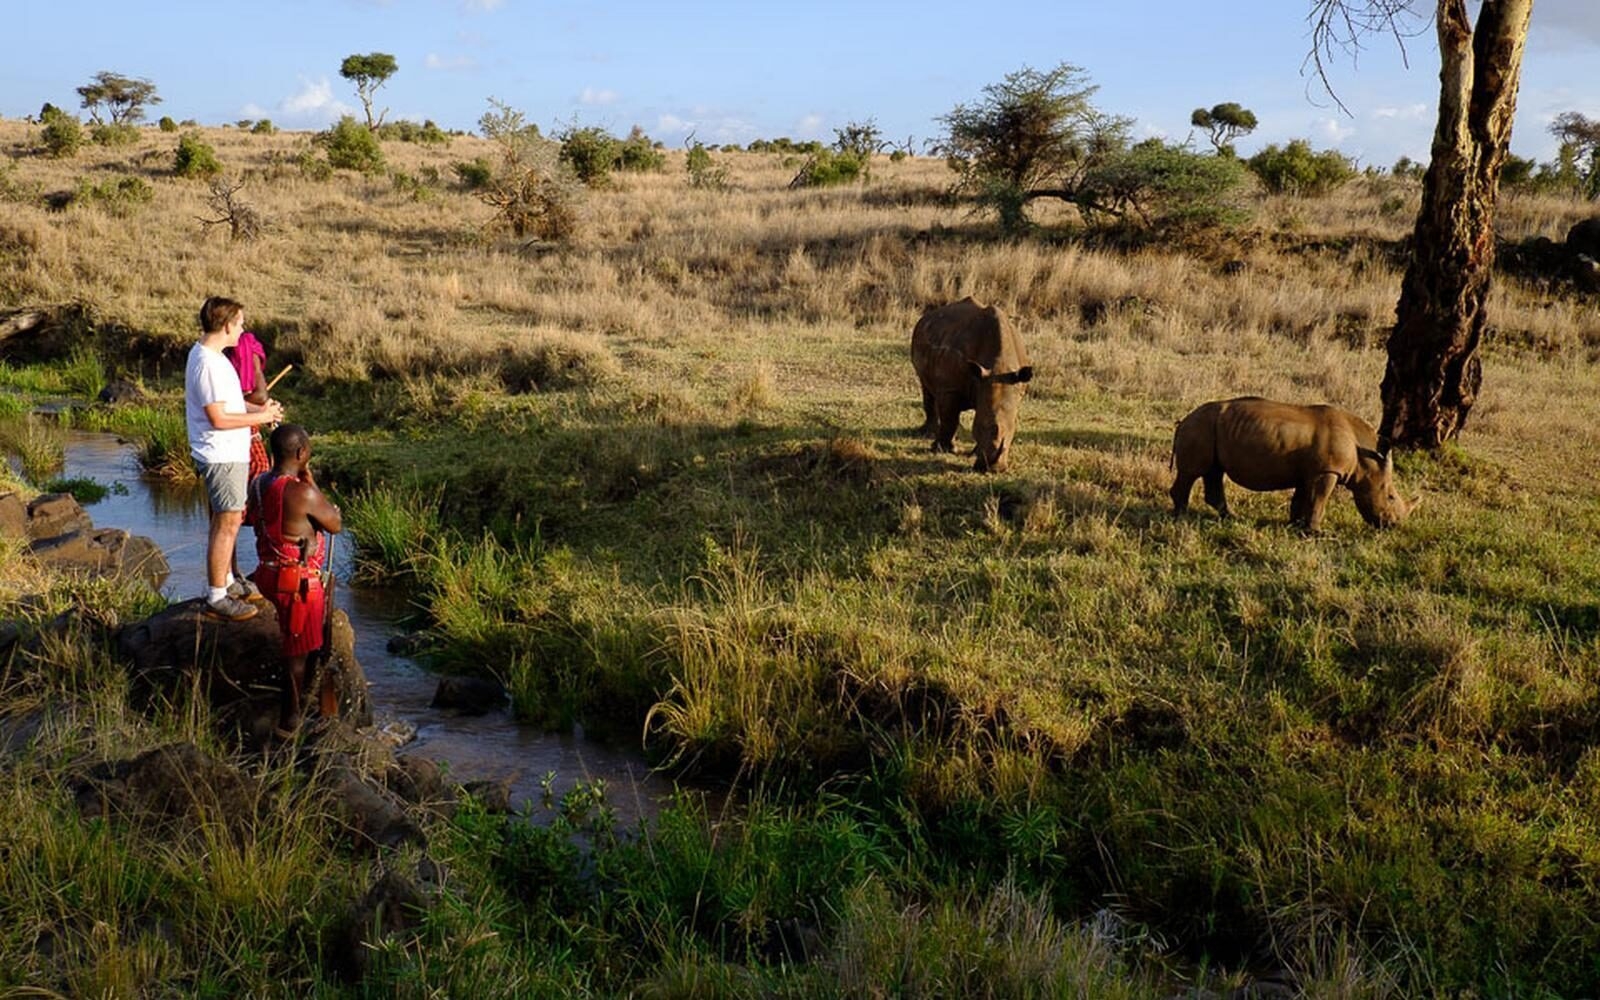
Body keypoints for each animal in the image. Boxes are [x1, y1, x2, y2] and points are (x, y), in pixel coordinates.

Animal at [911, 297, 1034, 472]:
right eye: (980, 427)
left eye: (1013, 431)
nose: (994, 469)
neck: (999, 366)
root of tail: (927, 315)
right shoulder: (951, 389)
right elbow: (950, 419)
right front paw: (943, 450)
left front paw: (973, 453)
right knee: (926, 387)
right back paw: (928, 434)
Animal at [1169, 397, 1412, 531]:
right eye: (1391, 497)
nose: (1394, 526)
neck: (1364, 458)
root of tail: (1183, 420)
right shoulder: (1326, 471)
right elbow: (1319, 500)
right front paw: (1316, 532)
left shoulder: (1310, 472)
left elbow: (1303, 498)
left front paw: (1294, 525)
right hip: (1200, 428)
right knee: (1192, 473)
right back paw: (1181, 518)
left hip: (1209, 429)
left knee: (1214, 472)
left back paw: (1230, 518)